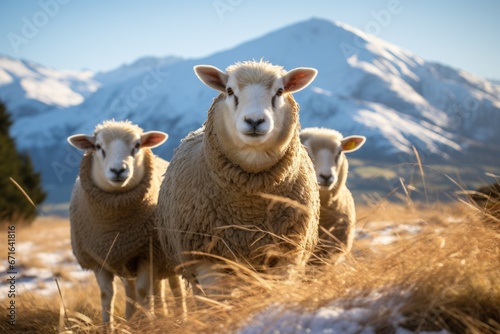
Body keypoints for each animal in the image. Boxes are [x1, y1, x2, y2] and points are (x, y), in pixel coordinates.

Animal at [66, 119, 184, 328]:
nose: (118, 170)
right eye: (98, 147)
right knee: (139, 290)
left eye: (137, 145)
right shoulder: (100, 259)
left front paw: (149, 325)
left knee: (176, 288)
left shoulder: (147, 254)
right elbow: (106, 295)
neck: (116, 226)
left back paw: (182, 315)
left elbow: (143, 292)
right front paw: (108, 328)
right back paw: (136, 318)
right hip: (127, 261)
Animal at [155, 60, 320, 300]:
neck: (248, 211)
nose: (254, 121)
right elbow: (218, 301)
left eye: (280, 91)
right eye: (230, 91)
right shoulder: (206, 258)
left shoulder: (286, 254)